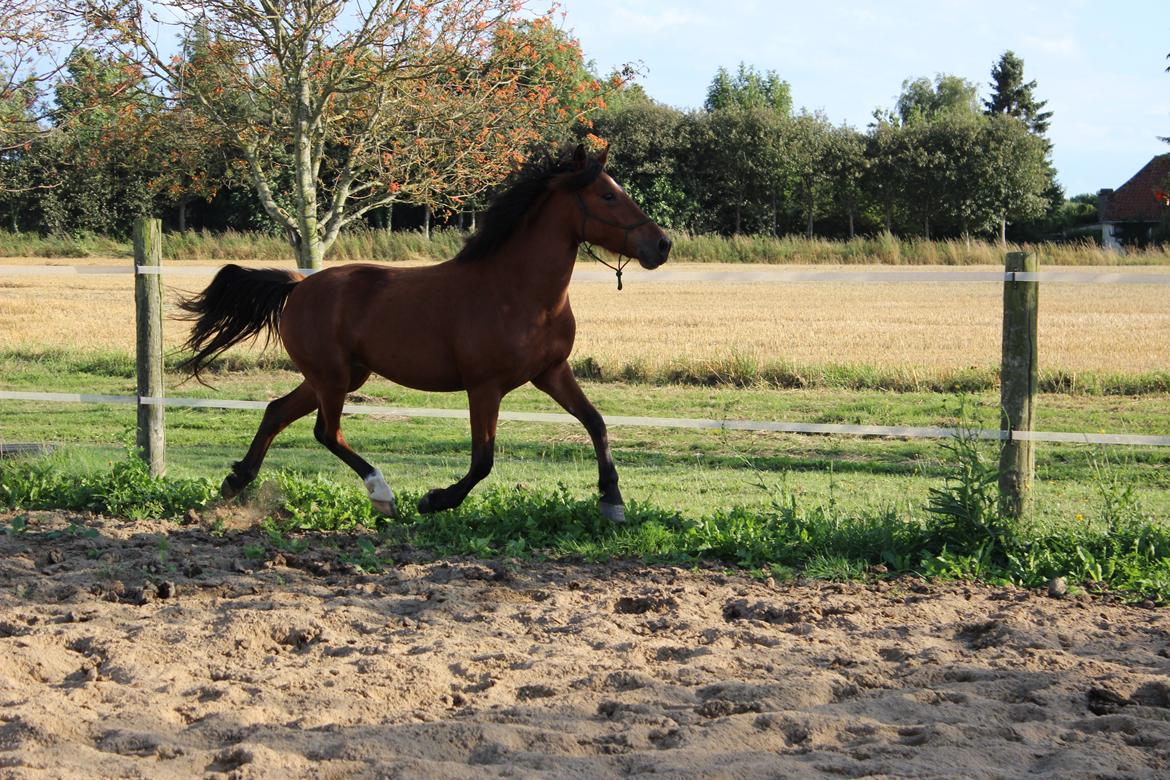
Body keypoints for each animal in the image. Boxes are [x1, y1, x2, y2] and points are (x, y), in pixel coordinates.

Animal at [177, 146, 673, 523]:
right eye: (607, 196)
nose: (662, 245)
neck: (520, 292)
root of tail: (298, 286)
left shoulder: (552, 372)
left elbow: (596, 423)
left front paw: (613, 501)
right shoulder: (485, 386)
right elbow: (483, 459)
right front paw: (435, 499)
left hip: (339, 376)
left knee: (277, 411)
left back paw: (235, 482)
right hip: (332, 378)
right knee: (326, 431)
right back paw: (383, 494)